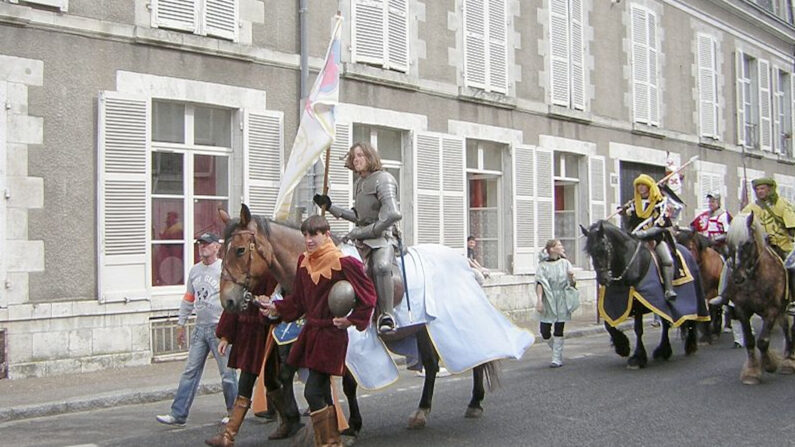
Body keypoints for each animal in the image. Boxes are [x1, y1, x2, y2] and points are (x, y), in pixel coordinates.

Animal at [216, 206, 510, 438]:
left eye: (240, 250)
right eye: (221, 252)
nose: (228, 301)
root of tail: (467, 264)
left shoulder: (348, 341)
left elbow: (346, 384)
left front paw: (352, 426)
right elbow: (303, 380)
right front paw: (319, 422)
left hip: (455, 320)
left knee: (477, 354)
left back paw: (475, 403)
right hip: (422, 328)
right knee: (431, 365)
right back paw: (421, 412)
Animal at [580, 220, 704, 372]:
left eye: (603, 249)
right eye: (590, 251)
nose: (603, 279)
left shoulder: (638, 301)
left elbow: (638, 329)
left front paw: (637, 357)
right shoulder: (615, 302)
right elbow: (608, 325)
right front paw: (622, 346)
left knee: (689, 318)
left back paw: (689, 345)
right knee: (666, 324)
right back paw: (664, 350)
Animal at [724, 214, 792, 384]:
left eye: (747, 243)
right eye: (728, 243)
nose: (737, 277)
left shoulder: (772, 310)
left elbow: (763, 341)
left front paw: (768, 364)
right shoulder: (742, 310)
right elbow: (749, 340)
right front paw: (752, 371)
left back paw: (789, 361)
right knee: (786, 327)